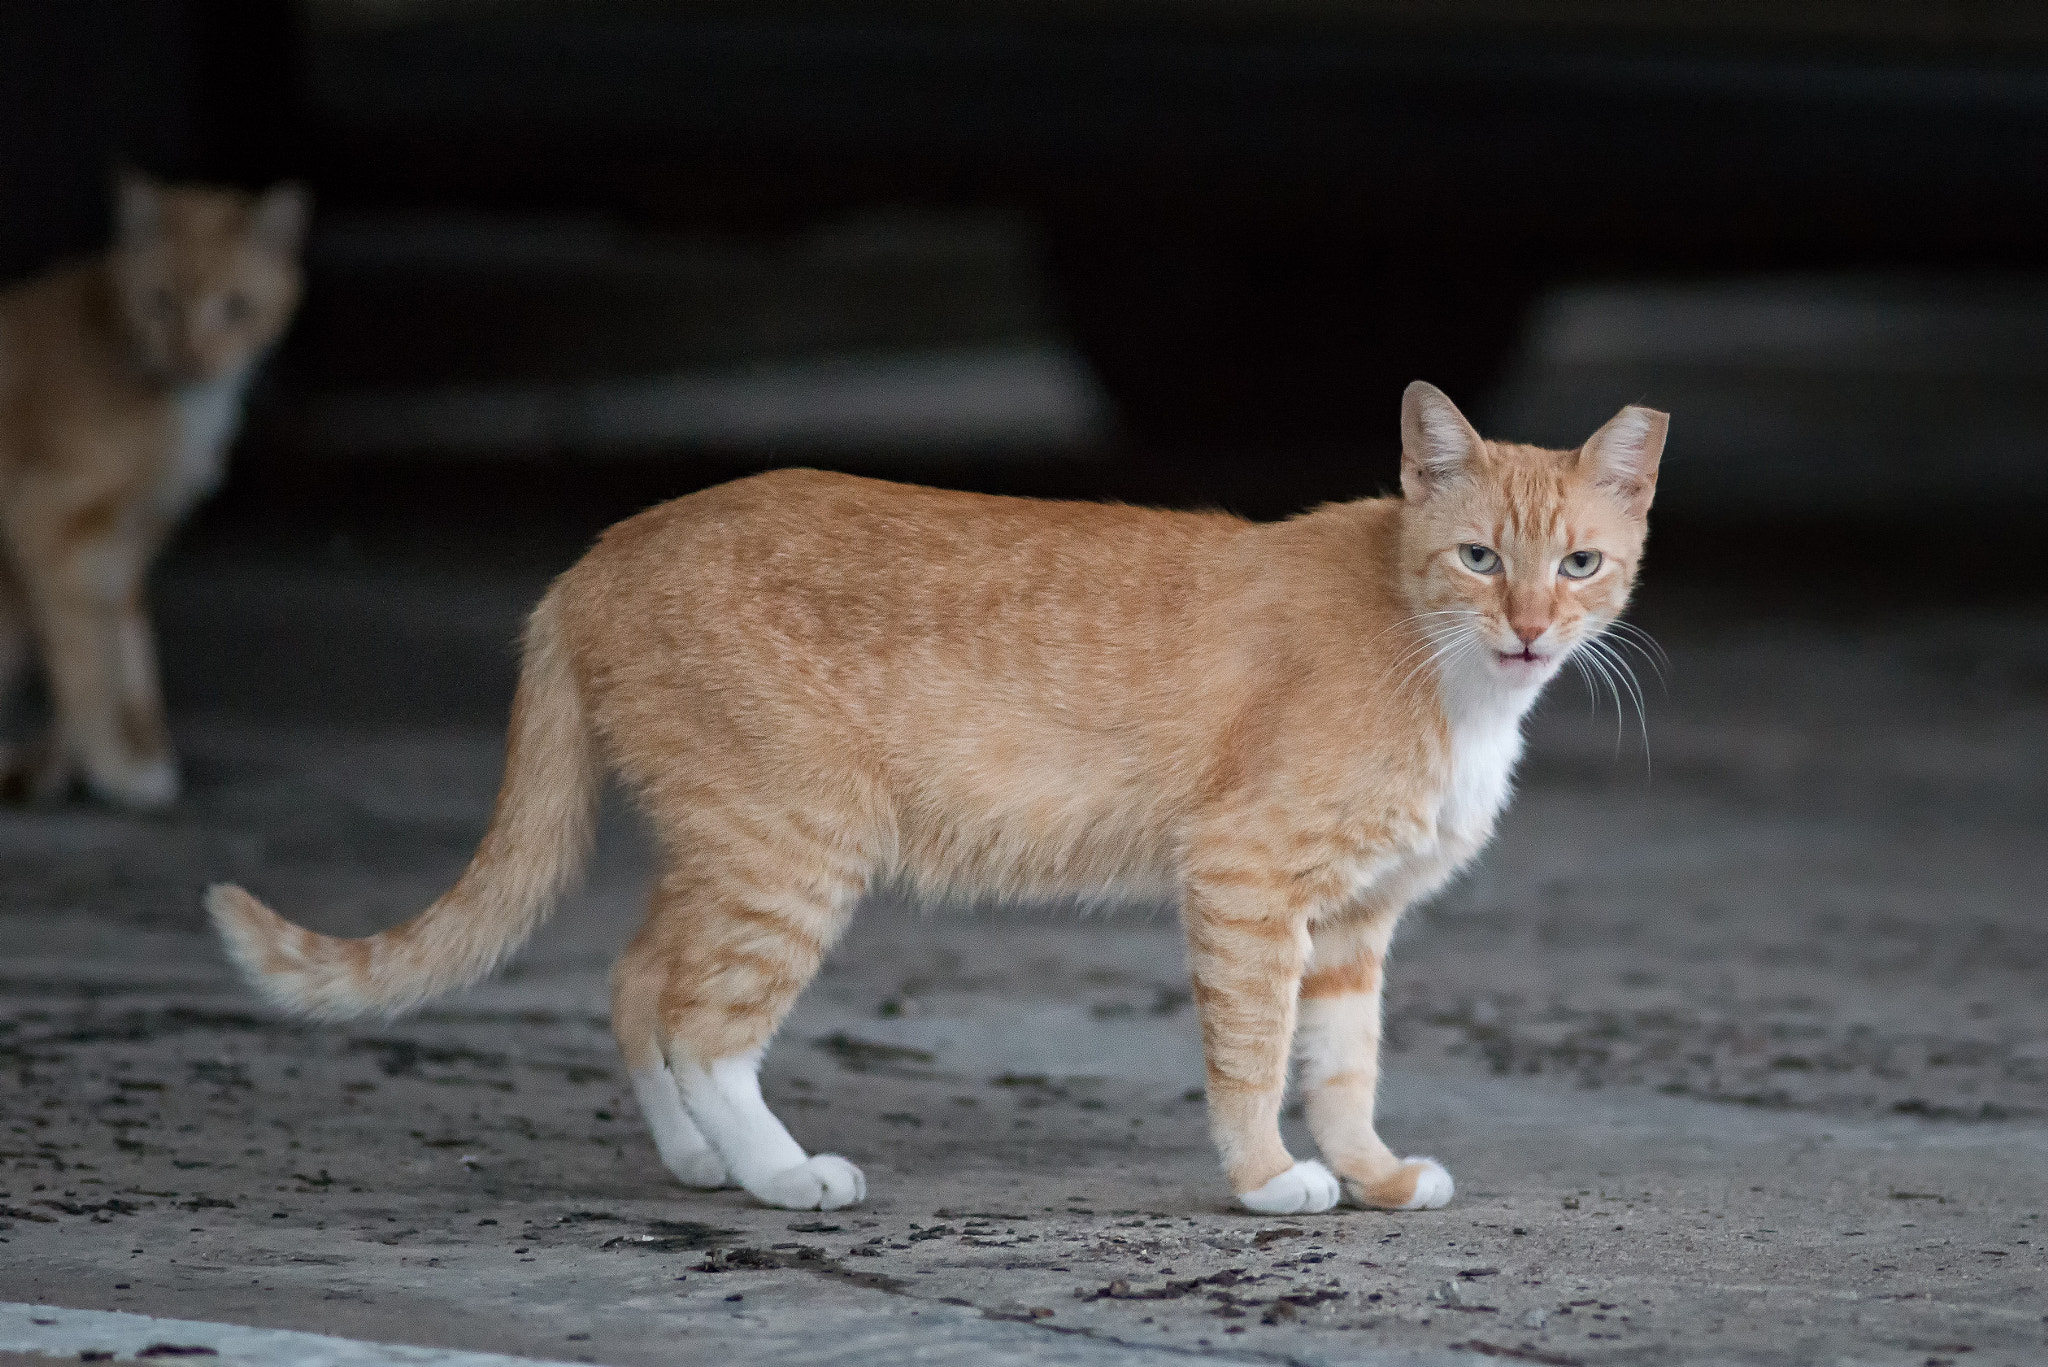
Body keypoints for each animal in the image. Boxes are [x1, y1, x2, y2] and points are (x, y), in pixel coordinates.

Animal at [0, 172, 307, 811]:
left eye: (236, 307)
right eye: (160, 302)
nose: (192, 355)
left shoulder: (123, 538)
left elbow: (129, 648)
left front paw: (134, 746)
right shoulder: (45, 518)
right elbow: (85, 662)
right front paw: (112, 765)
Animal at [207, 383, 1662, 1205]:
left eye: (1579, 564)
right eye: (1477, 558)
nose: (1530, 629)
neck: (1448, 676)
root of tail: (600, 549)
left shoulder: (1353, 926)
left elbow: (1343, 1065)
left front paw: (1369, 1174)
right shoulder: (1246, 882)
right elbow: (1255, 1057)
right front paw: (1266, 1182)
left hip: (725, 843)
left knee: (636, 984)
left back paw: (700, 1163)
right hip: (795, 849)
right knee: (703, 1019)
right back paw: (781, 1171)